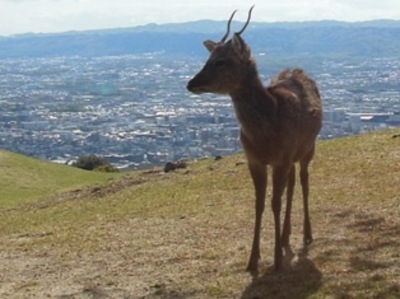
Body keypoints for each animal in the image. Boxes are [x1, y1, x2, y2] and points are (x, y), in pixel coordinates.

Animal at [187, 5, 322, 274]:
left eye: (221, 61)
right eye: (208, 58)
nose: (191, 83)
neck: (264, 135)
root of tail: (299, 71)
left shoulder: (281, 157)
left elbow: (274, 202)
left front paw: (277, 261)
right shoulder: (255, 160)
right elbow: (259, 204)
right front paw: (253, 260)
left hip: (308, 147)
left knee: (304, 181)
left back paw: (307, 235)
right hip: (292, 156)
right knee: (292, 184)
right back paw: (285, 237)